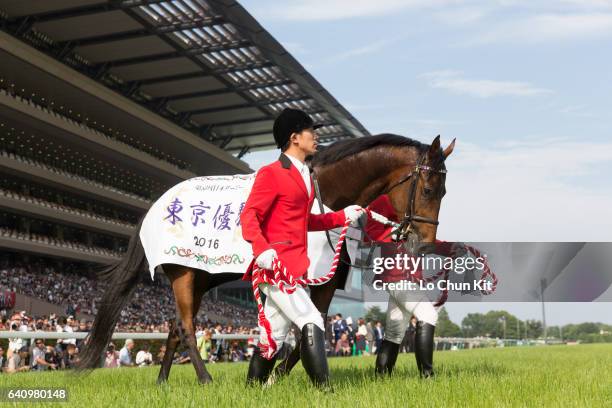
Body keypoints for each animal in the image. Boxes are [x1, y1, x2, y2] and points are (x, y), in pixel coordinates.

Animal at [77, 134, 454, 386]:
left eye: (444, 192)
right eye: (429, 189)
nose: (424, 245)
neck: (321, 193)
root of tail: (155, 206)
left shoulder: (326, 282)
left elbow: (306, 329)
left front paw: (274, 374)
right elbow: (298, 329)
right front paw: (273, 374)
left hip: (201, 276)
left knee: (173, 328)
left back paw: (163, 381)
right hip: (183, 273)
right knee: (184, 327)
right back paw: (205, 379)